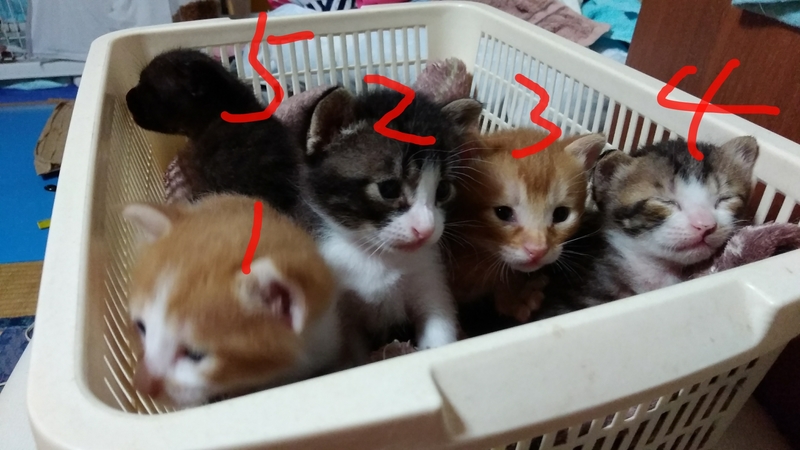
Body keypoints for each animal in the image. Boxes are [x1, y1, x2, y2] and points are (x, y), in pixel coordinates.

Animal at [293, 86, 483, 361]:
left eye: (443, 190)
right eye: (389, 189)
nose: (426, 230)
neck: (379, 257)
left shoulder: (431, 281)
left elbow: (440, 328)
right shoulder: (342, 311)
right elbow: (355, 354)